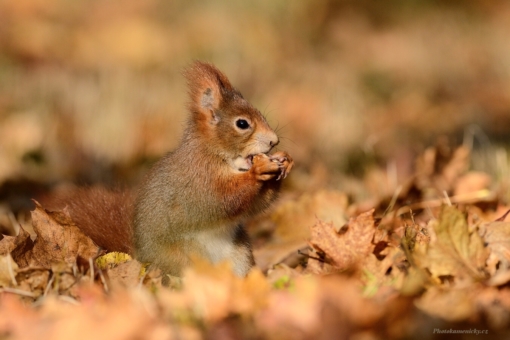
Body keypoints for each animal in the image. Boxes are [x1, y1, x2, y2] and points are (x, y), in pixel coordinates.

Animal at [43, 61, 292, 278]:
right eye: (242, 124)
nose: (274, 141)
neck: (218, 155)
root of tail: (142, 258)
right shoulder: (197, 178)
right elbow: (222, 199)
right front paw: (258, 171)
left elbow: (254, 206)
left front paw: (284, 161)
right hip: (181, 259)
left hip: (240, 255)